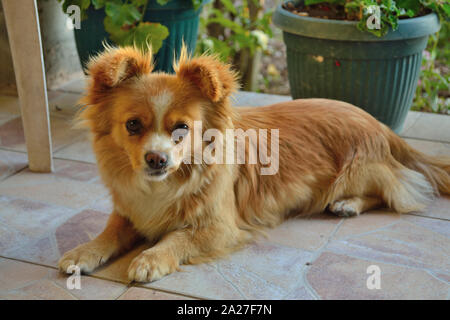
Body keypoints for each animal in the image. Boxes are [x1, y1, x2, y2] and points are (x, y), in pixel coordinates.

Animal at [58, 45, 448, 282]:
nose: (156, 158)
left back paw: (348, 204)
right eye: (133, 126)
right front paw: (82, 252)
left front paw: (150, 258)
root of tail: (380, 124)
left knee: (394, 190)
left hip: (357, 171)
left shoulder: (219, 228)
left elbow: (176, 238)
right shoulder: (127, 214)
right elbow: (107, 234)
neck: (165, 185)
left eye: (182, 128)